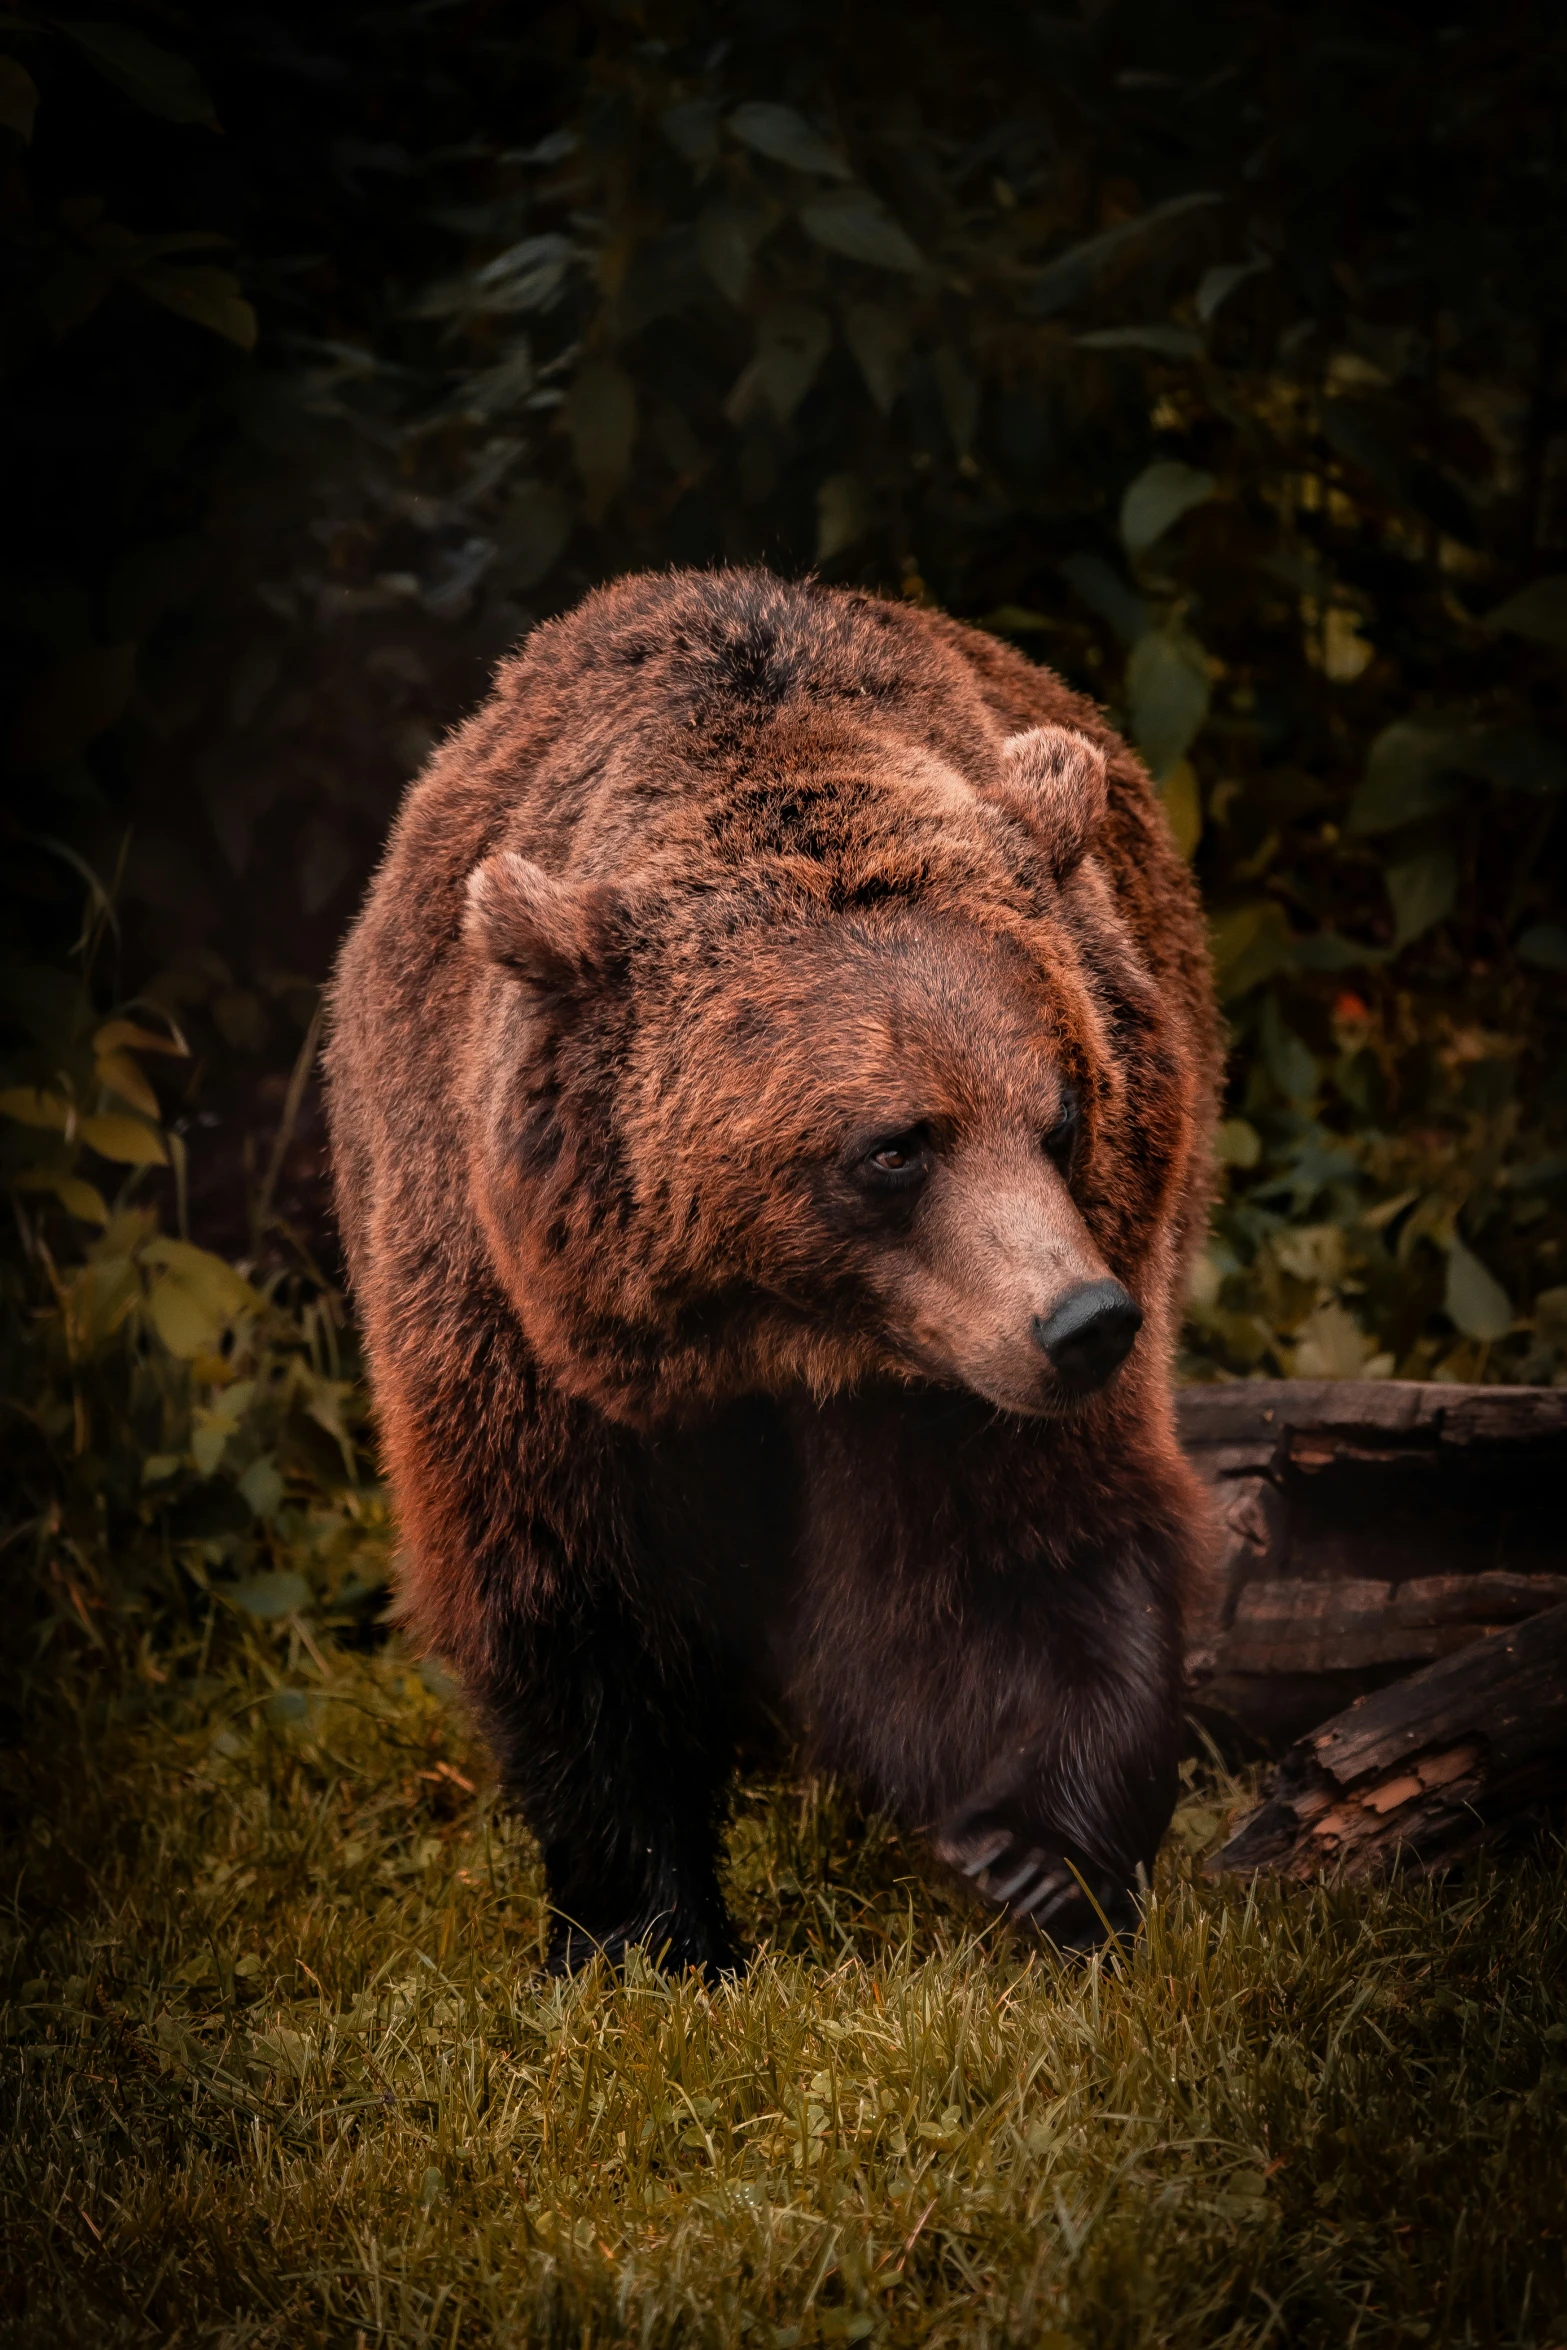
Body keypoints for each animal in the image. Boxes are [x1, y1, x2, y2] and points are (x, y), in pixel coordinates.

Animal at [324, 564, 1221, 1964]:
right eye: (895, 1146)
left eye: (1062, 1111)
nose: (1083, 1321)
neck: (779, 1333)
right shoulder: (515, 1321)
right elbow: (576, 1598)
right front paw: (647, 1924)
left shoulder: (957, 1364)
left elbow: (1015, 1550)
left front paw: (1033, 1855)